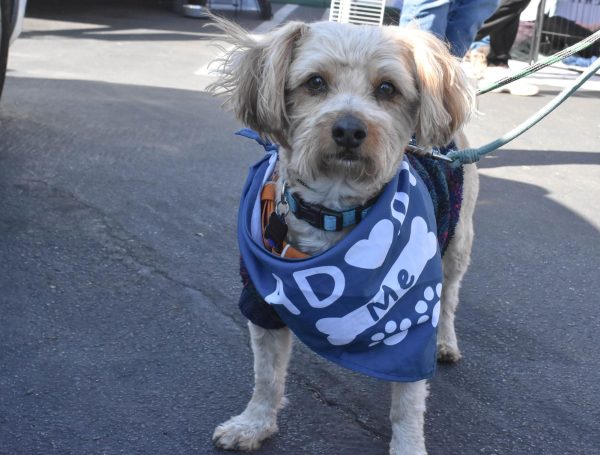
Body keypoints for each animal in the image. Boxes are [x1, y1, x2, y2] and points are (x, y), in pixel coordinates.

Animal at [209, 17, 480, 455]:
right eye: (315, 82)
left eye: (387, 88)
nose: (349, 129)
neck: (335, 212)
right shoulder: (262, 300)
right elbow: (266, 376)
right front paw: (254, 423)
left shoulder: (410, 320)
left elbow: (408, 404)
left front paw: (408, 445)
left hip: (456, 242)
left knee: (451, 298)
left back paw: (445, 340)